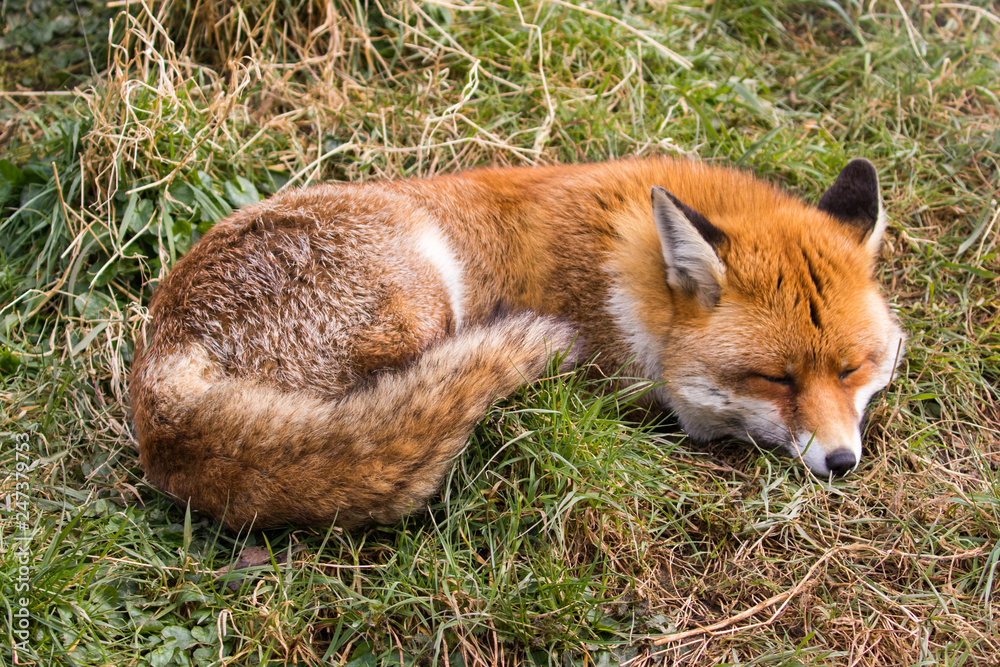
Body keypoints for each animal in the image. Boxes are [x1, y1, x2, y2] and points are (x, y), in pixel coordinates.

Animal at [129, 157, 905, 530]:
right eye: (775, 378)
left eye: (852, 369)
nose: (842, 462)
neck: (627, 274)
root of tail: (160, 382)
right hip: (421, 298)